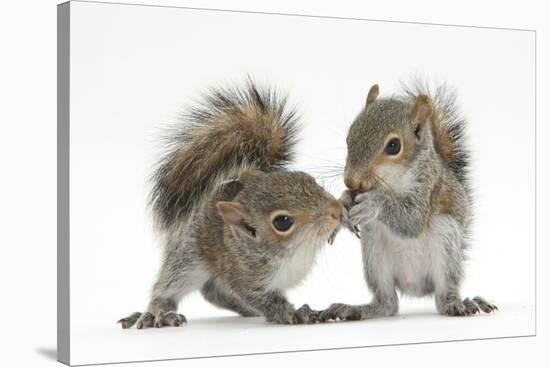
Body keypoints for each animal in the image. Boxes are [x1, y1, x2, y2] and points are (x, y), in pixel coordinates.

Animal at [119, 80, 344, 328]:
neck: (294, 251)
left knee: (215, 292)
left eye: (308, 179)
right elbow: (265, 299)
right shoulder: (243, 277)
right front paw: (291, 313)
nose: (335, 211)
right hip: (187, 258)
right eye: (283, 222)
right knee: (170, 287)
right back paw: (157, 313)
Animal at [322, 81, 498, 322]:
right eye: (349, 137)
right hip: (374, 251)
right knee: (388, 303)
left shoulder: (428, 187)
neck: (392, 180)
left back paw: (460, 304)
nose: (351, 180)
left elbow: (412, 220)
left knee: (443, 297)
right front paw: (344, 202)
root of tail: (415, 287)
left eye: (394, 146)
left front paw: (372, 203)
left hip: (446, 241)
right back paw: (355, 309)